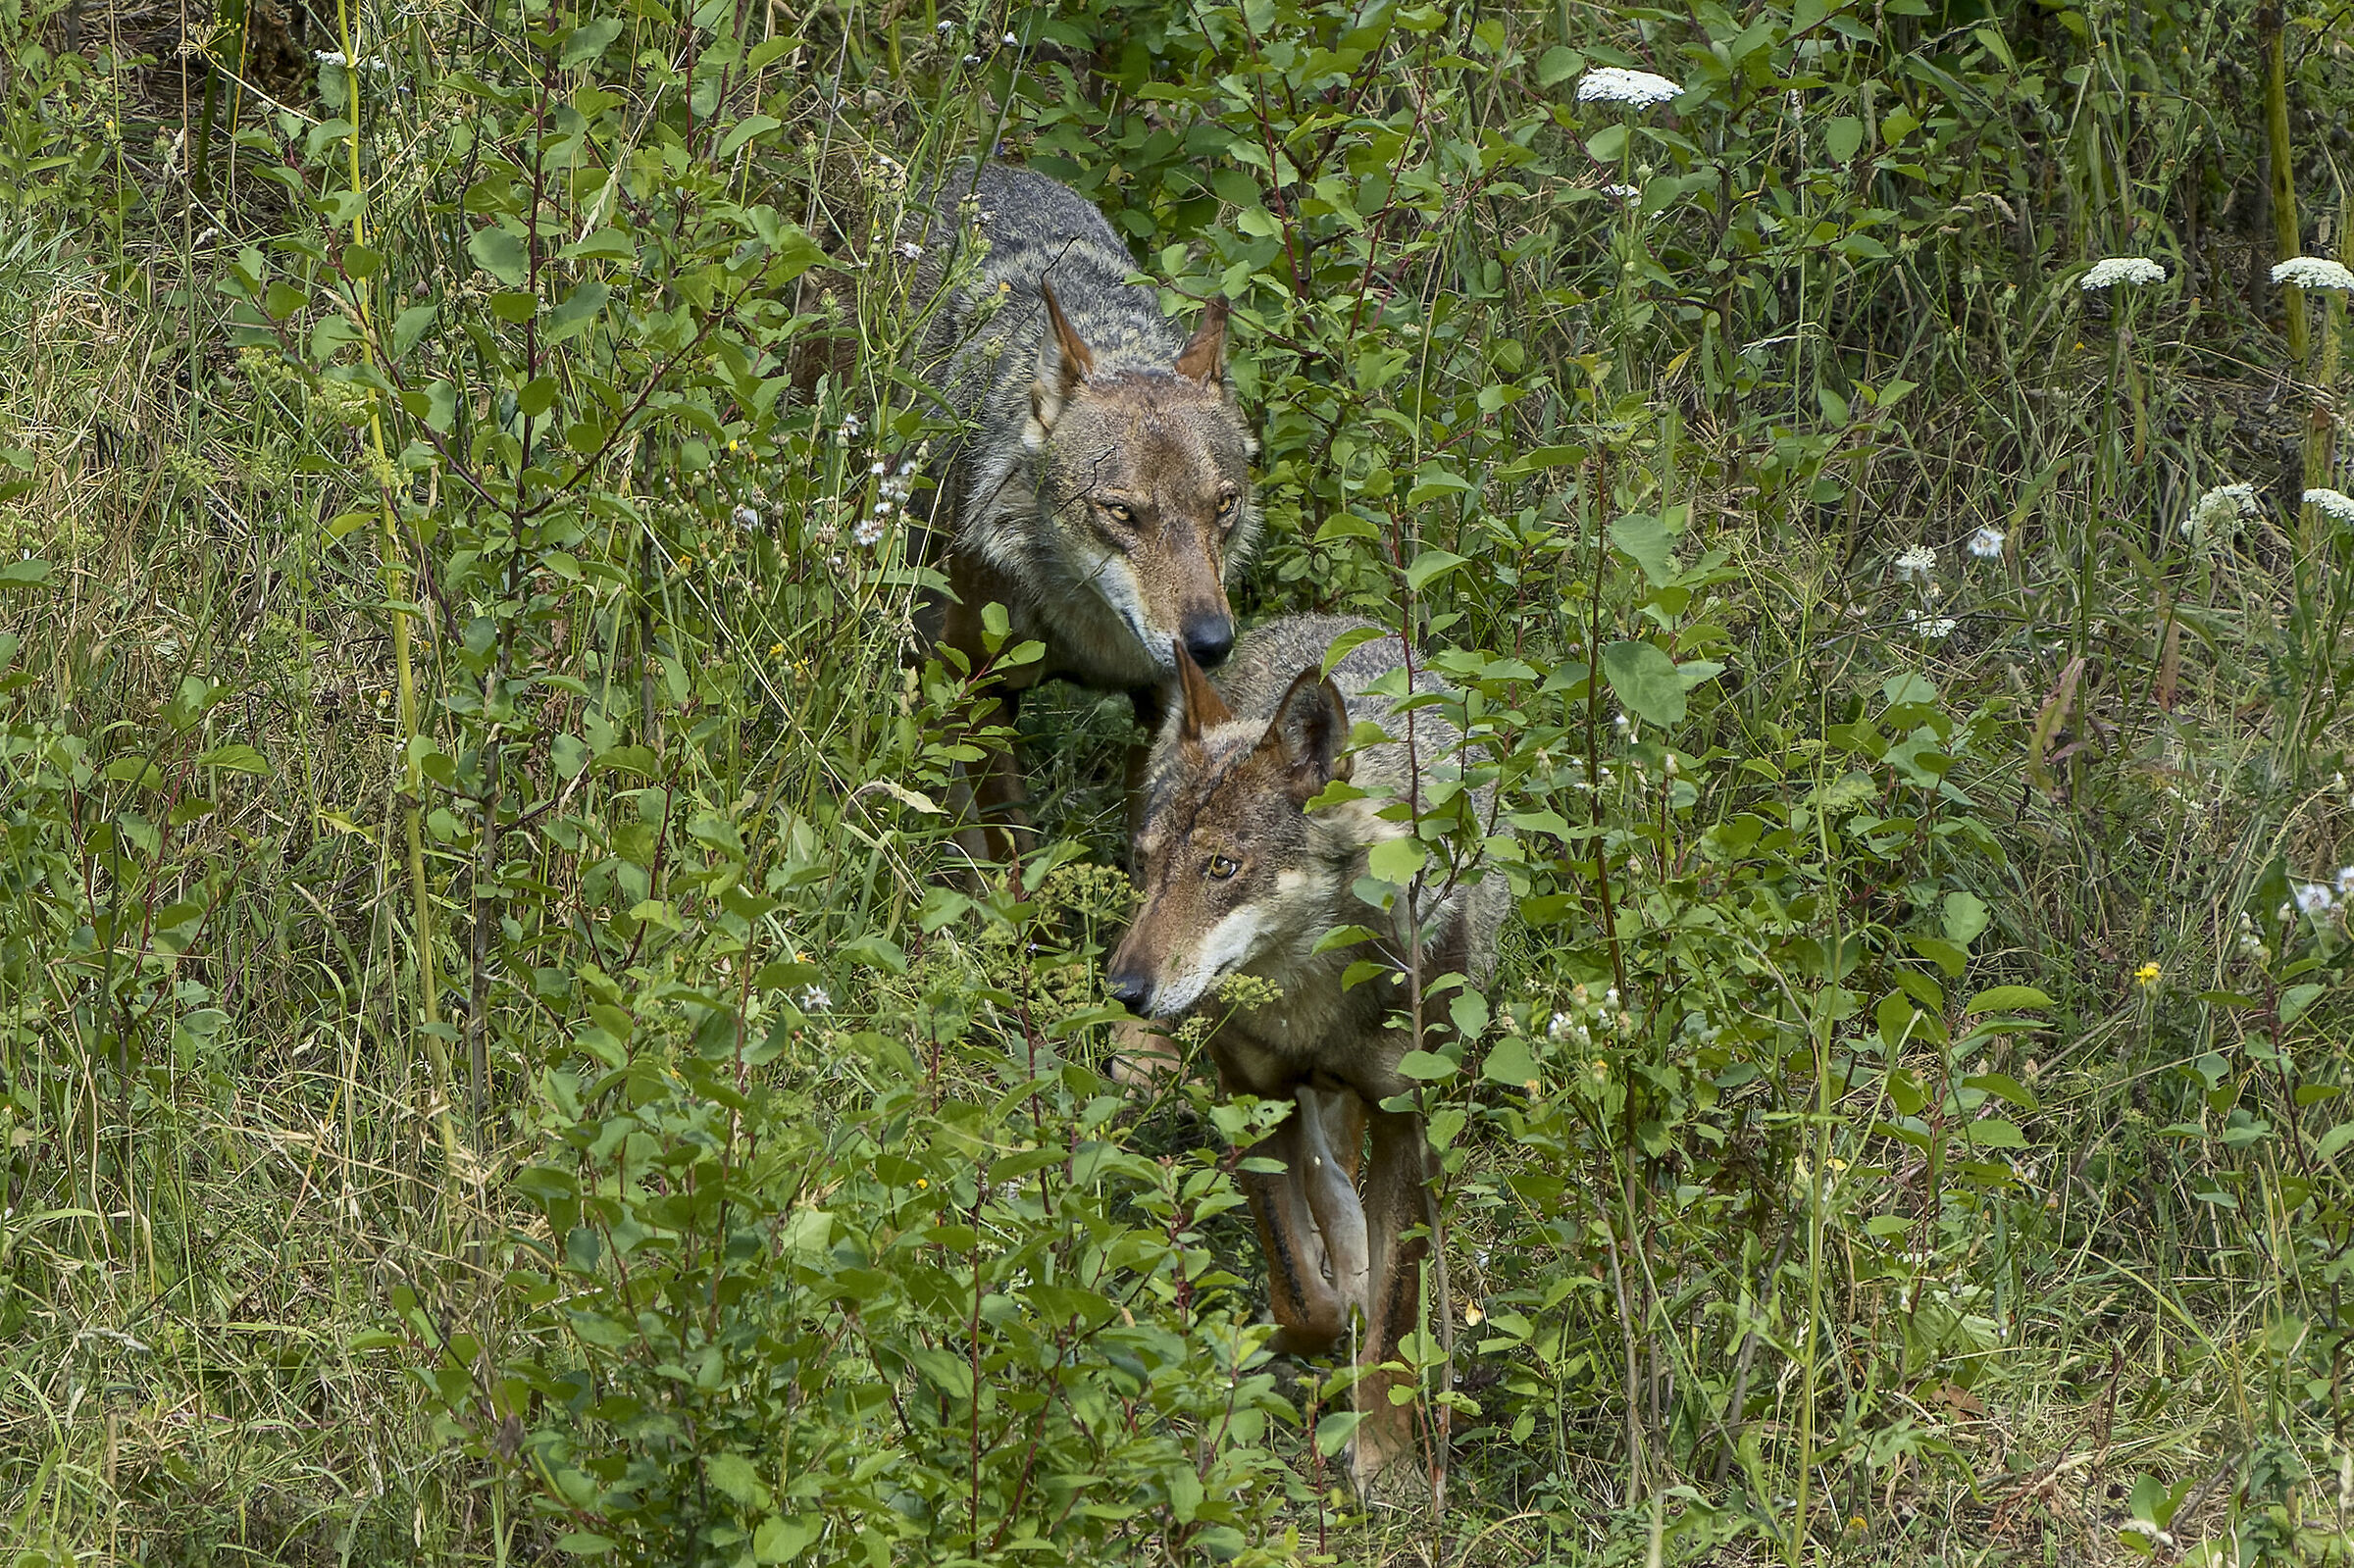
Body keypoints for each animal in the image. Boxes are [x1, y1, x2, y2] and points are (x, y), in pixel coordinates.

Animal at [909, 164, 1261, 863]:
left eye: (1224, 506)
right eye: (1122, 513)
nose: (1211, 644)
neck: (1086, 630)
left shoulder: (1164, 699)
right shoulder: (981, 693)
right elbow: (1012, 858)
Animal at [1103, 614, 1509, 1494]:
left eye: (1222, 867)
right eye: (1147, 865)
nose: (1124, 990)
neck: (1309, 1002)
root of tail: (1327, 623)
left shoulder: (1408, 1122)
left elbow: (1393, 1310)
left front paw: (1386, 1459)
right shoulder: (1247, 1093)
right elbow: (1299, 1288)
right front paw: (1310, 1326)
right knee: (1324, 1173)